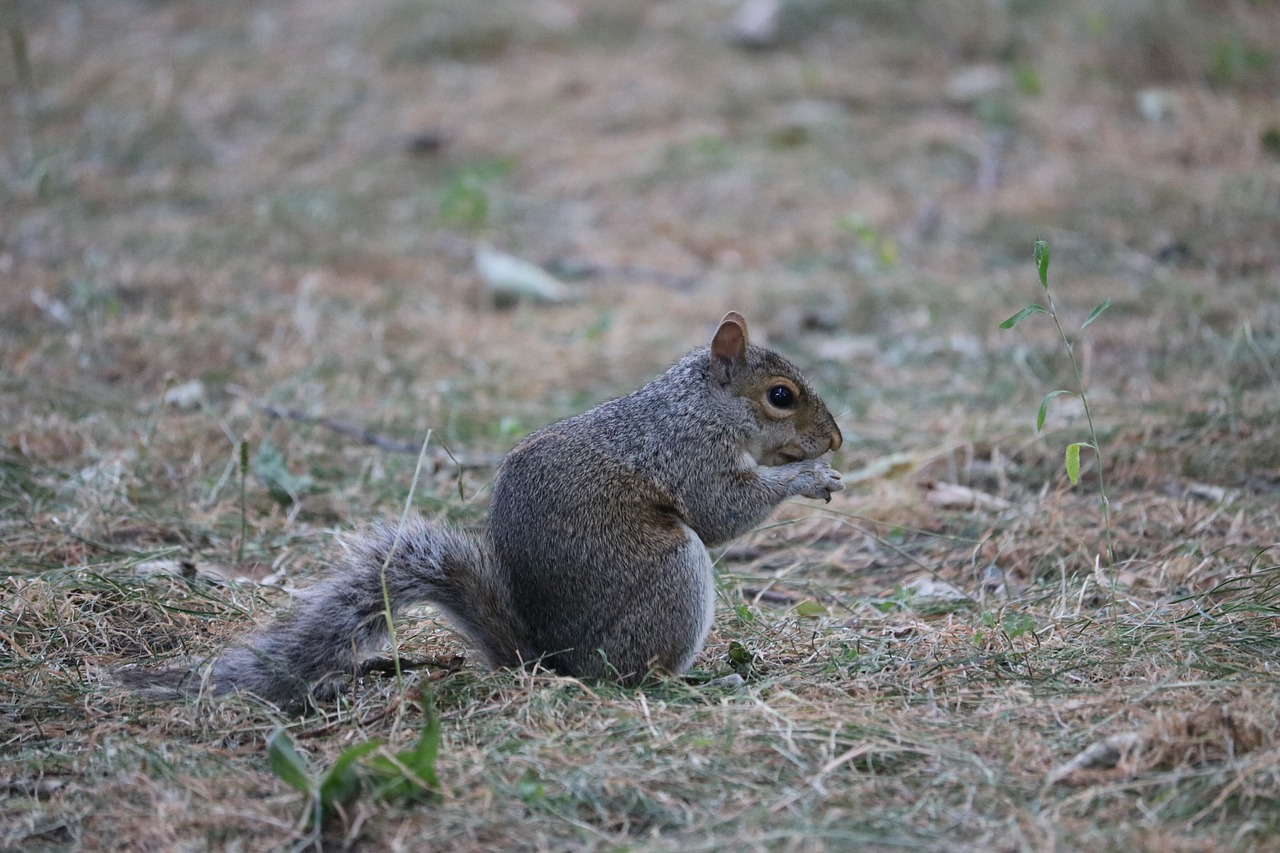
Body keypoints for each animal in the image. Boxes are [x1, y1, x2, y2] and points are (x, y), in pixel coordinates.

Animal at [199, 312, 844, 701]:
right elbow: (720, 511)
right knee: (633, 675)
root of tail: (550, 663)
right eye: (780, 396)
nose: (835, 440)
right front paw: (806, 477)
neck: (698, 406)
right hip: (671, 574)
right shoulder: (688, 454)